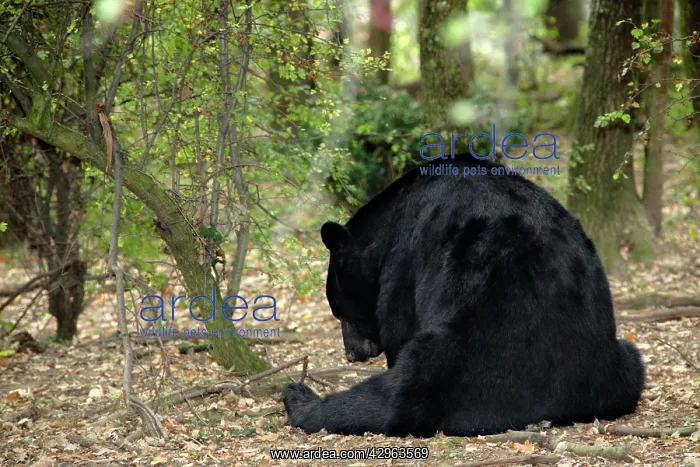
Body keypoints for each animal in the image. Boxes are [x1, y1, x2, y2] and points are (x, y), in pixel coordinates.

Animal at [283, 154, 645, 437]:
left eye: (337, 308)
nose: (352, 353)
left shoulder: (404, 258)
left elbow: (399, 323)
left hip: (468, 354)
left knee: (405, 392)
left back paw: (301, 400)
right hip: (615, 360)